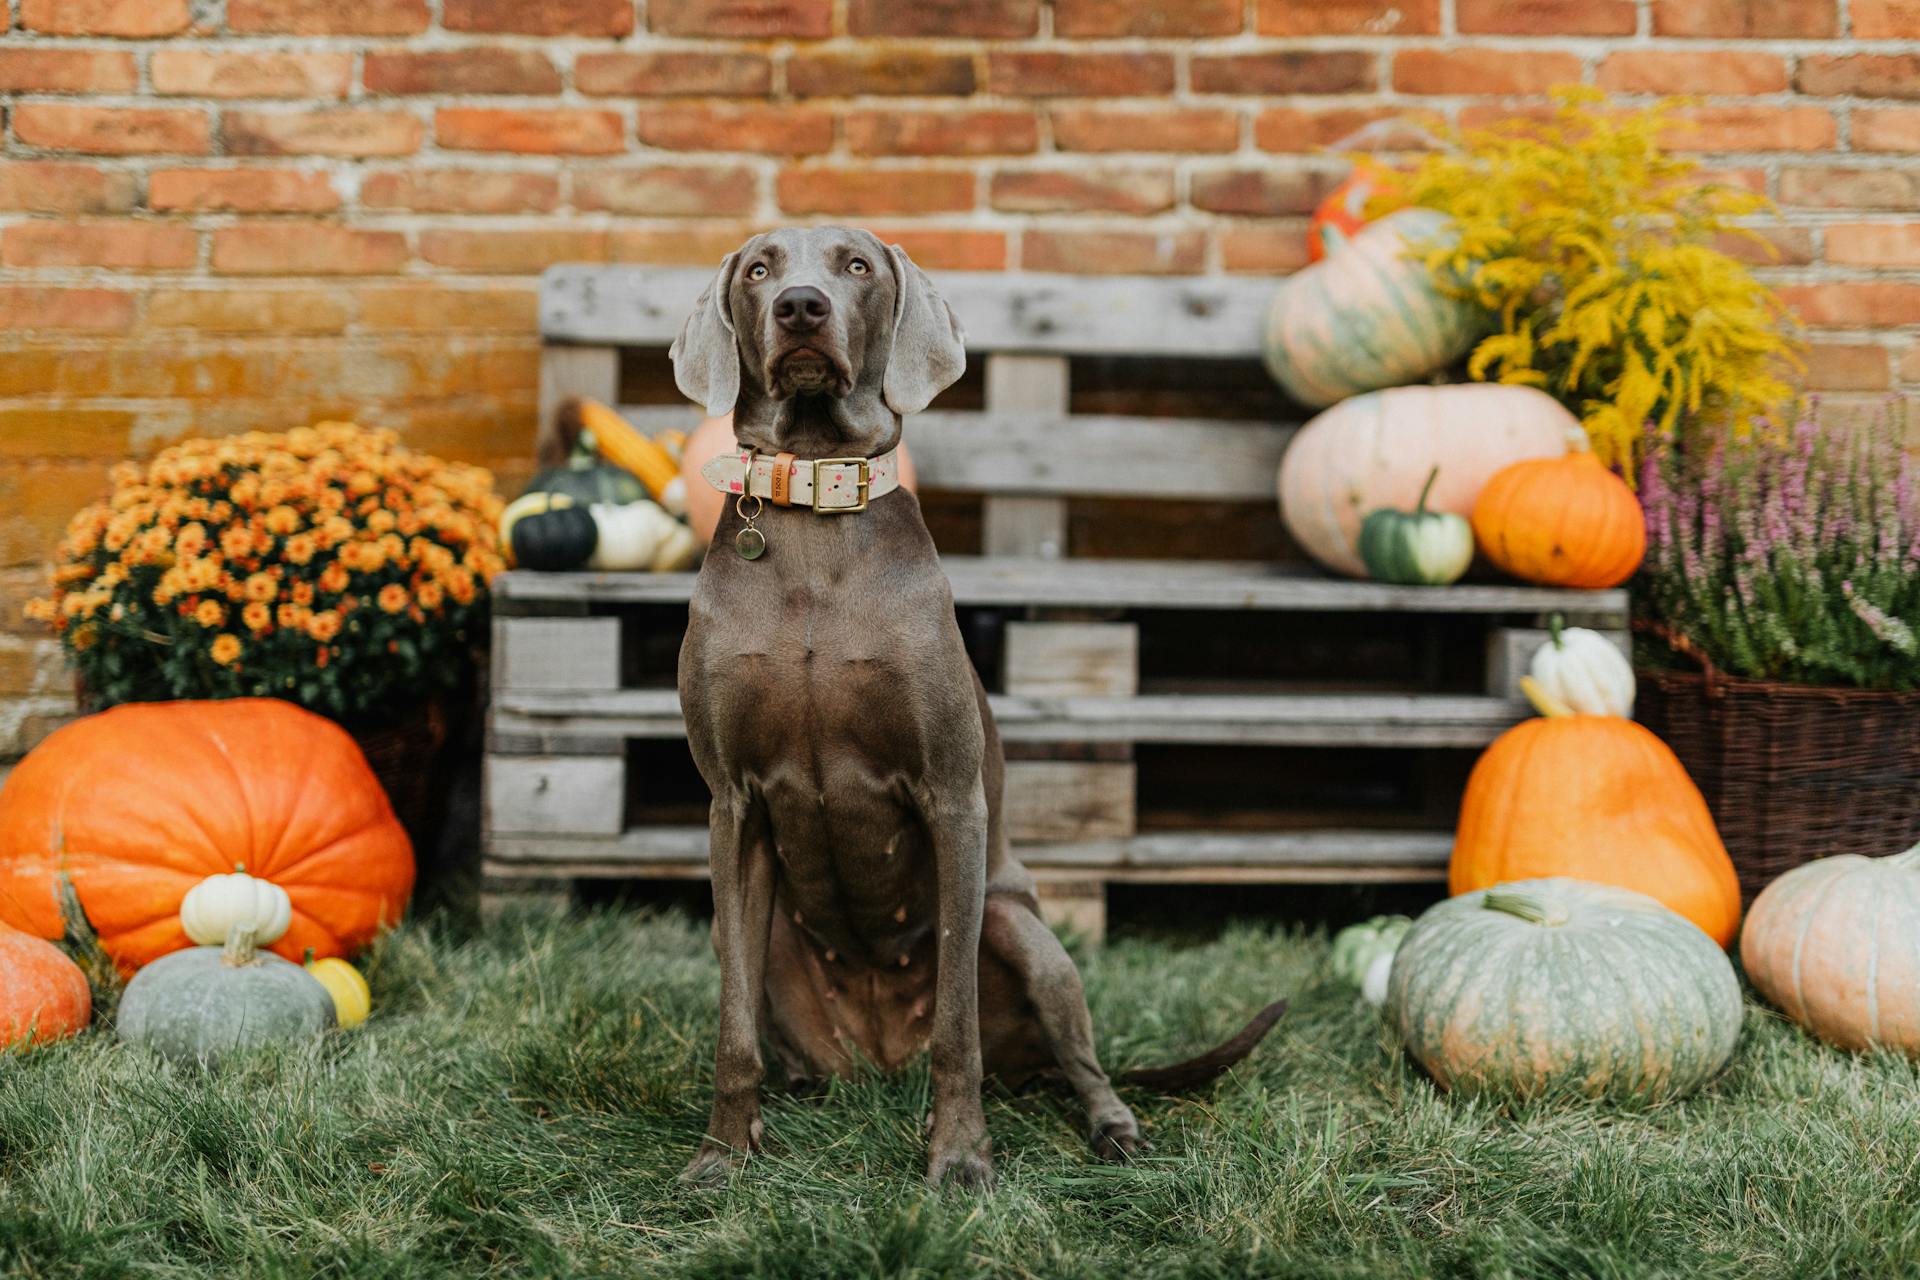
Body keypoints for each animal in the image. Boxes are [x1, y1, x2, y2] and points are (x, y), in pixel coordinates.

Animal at [668, 222, 1282, 1189]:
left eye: (855, 265)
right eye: (760, 268)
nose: (800, 306)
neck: (813, 513)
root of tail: (880, 1065)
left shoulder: (952, 796)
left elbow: (957, 1024)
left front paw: (959, 1158)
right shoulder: (732, 804)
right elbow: (732, 1031)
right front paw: (722, 1155)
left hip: (1023, 932)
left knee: (1079, 1061)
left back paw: (1111, 1127)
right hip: (767, 943)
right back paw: (791, 1098)